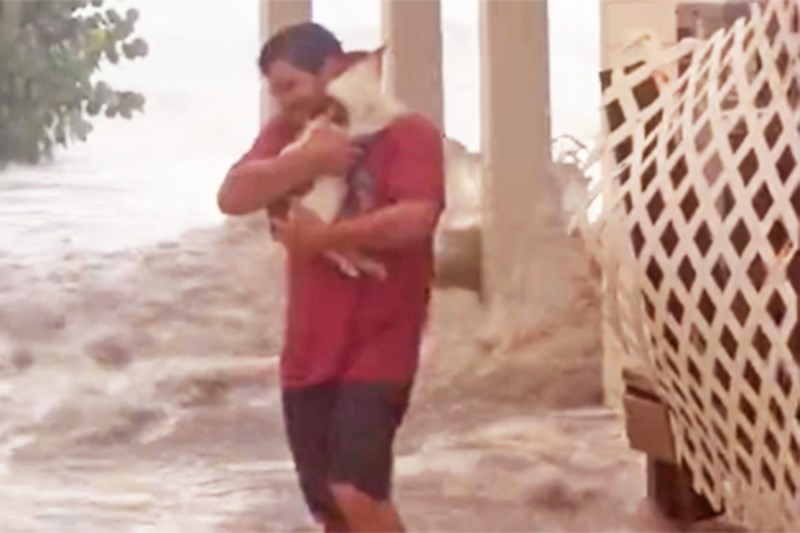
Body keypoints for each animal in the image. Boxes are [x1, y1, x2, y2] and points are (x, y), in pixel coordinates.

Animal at [280, 46, 406, 278]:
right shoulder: (358, 125)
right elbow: (383, 114)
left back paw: (367, 265)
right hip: (330, 205)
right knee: (329, 245)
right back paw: (354, 266)